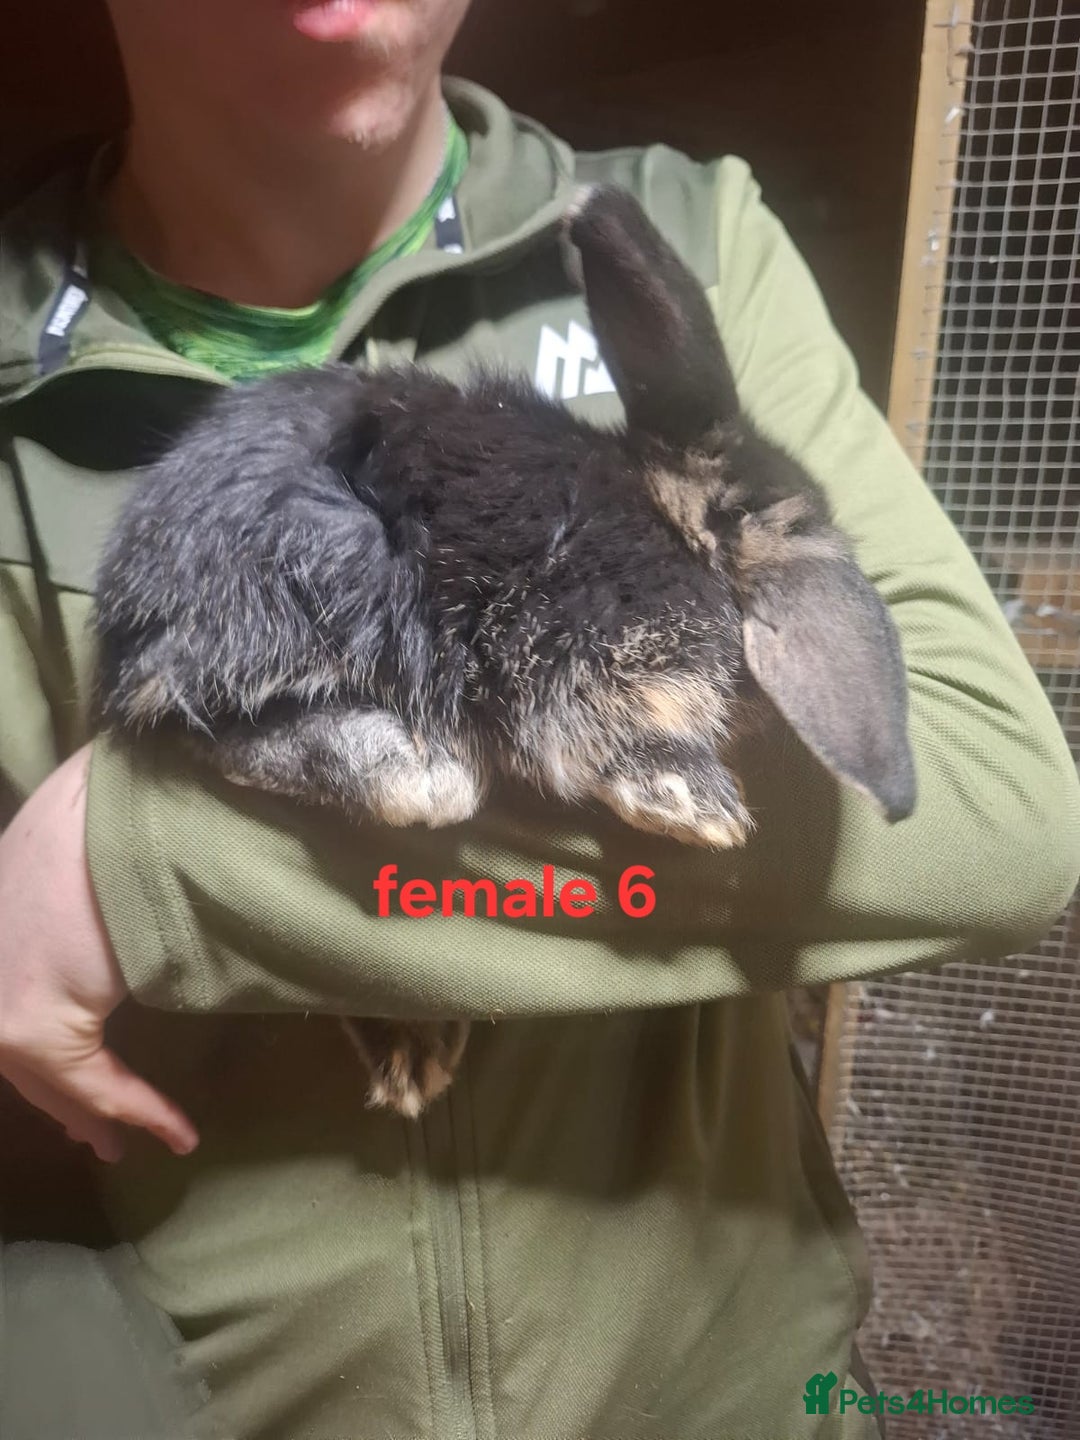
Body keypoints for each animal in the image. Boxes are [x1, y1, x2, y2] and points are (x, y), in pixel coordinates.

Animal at [93, 184, 916, 1119]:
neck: (673, 527)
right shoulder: (577, 655)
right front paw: (694, 804)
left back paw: (415, 1052)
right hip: (315, 578)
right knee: (225, 737)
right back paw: (413, 776)